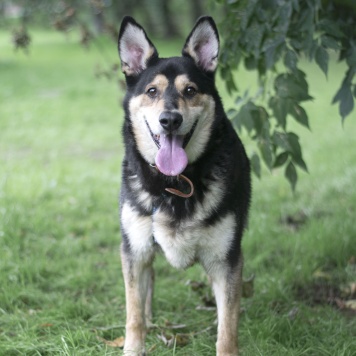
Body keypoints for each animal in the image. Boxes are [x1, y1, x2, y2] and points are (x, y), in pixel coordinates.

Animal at [117, 16, 250, 356]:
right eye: (152, 91)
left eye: (190, 90)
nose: (170, 120)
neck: (174, 183)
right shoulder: (135, 250)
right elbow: (133, 313)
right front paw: (134, 345)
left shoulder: (226, 259)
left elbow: (228, 327)